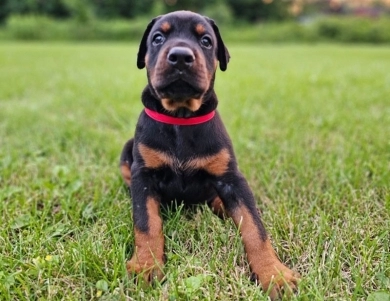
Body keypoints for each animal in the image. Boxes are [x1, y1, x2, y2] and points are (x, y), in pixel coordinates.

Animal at [120, 11, 300, 298]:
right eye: (158, 38)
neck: (182, 117)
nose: (181, 56)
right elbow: (146, 223)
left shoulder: (231, 178)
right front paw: (146, 267)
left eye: (205, 40)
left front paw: (274, 275)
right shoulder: (144, 176)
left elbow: (255, 228)